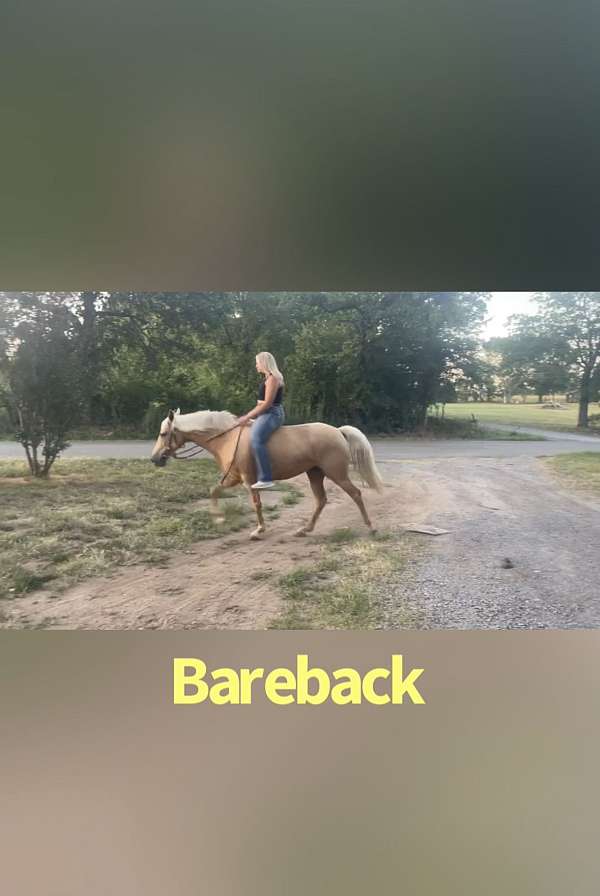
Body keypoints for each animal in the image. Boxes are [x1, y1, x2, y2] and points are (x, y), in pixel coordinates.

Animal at [152, 408, 382, 540]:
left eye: (163, 433)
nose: (155, 459)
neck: (227, 439)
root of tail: (338, 431)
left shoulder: (248, 481)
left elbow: (257, 504)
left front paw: (258, 530)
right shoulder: (232, 478)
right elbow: (213, 490)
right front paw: (218, 519)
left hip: (336, 474)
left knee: (355, 494)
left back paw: (371, 528)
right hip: (315, 474)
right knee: (321, 500)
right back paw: (304, 530)